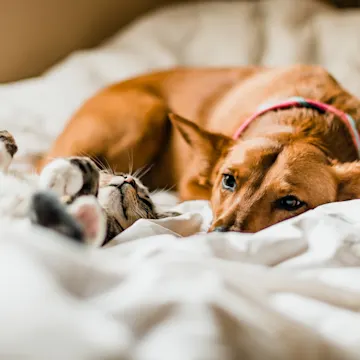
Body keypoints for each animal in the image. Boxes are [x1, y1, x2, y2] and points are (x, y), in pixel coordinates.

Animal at [39, 64, 360, 233]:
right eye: (228, 180)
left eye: (291, 202)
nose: (219, 235)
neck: (301, 122)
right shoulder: (191, 184)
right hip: (147, 114)